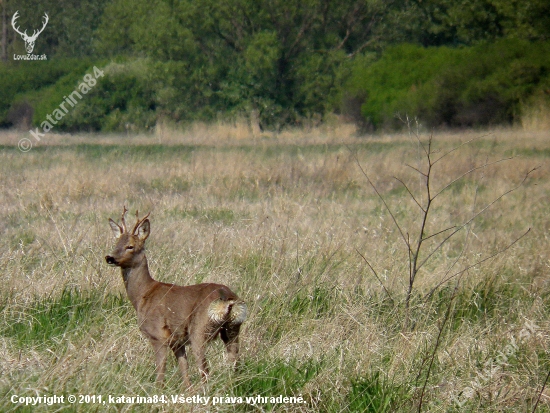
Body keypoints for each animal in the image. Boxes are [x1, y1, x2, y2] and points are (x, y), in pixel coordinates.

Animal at [104, 206, 247, 386]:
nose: (110, 257)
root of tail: (227, 297)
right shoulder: (177, 342)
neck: (143, 294)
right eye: (116, 243)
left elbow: (160, 374)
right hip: (232, 329)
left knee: (205, 372)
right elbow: (185, 373)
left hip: (199, 331)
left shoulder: (158, 335)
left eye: (130, 246)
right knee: (236, 365)